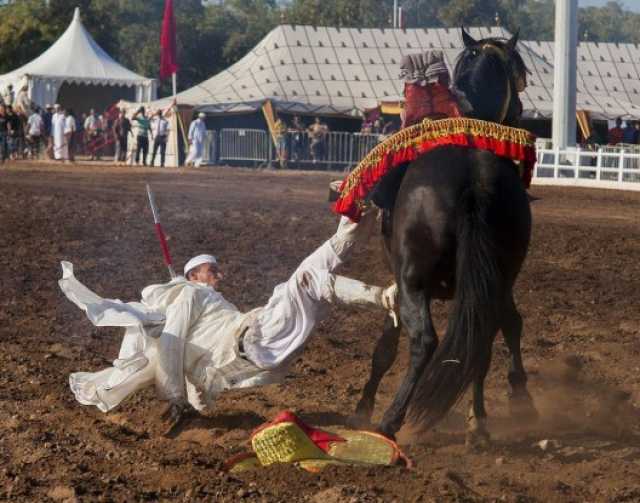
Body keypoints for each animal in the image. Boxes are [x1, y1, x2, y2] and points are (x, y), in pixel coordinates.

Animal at [352, 27, 536, 446]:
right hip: (494, 277)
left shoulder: (400, 280)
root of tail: (474, 180)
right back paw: (478, 422)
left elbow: (386, 344)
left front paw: (364, 405)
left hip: (414, 280)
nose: (520, 111)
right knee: (480, 339)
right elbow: (508, 325)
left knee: (425, 342)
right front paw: (518, 397)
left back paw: (392, 419)